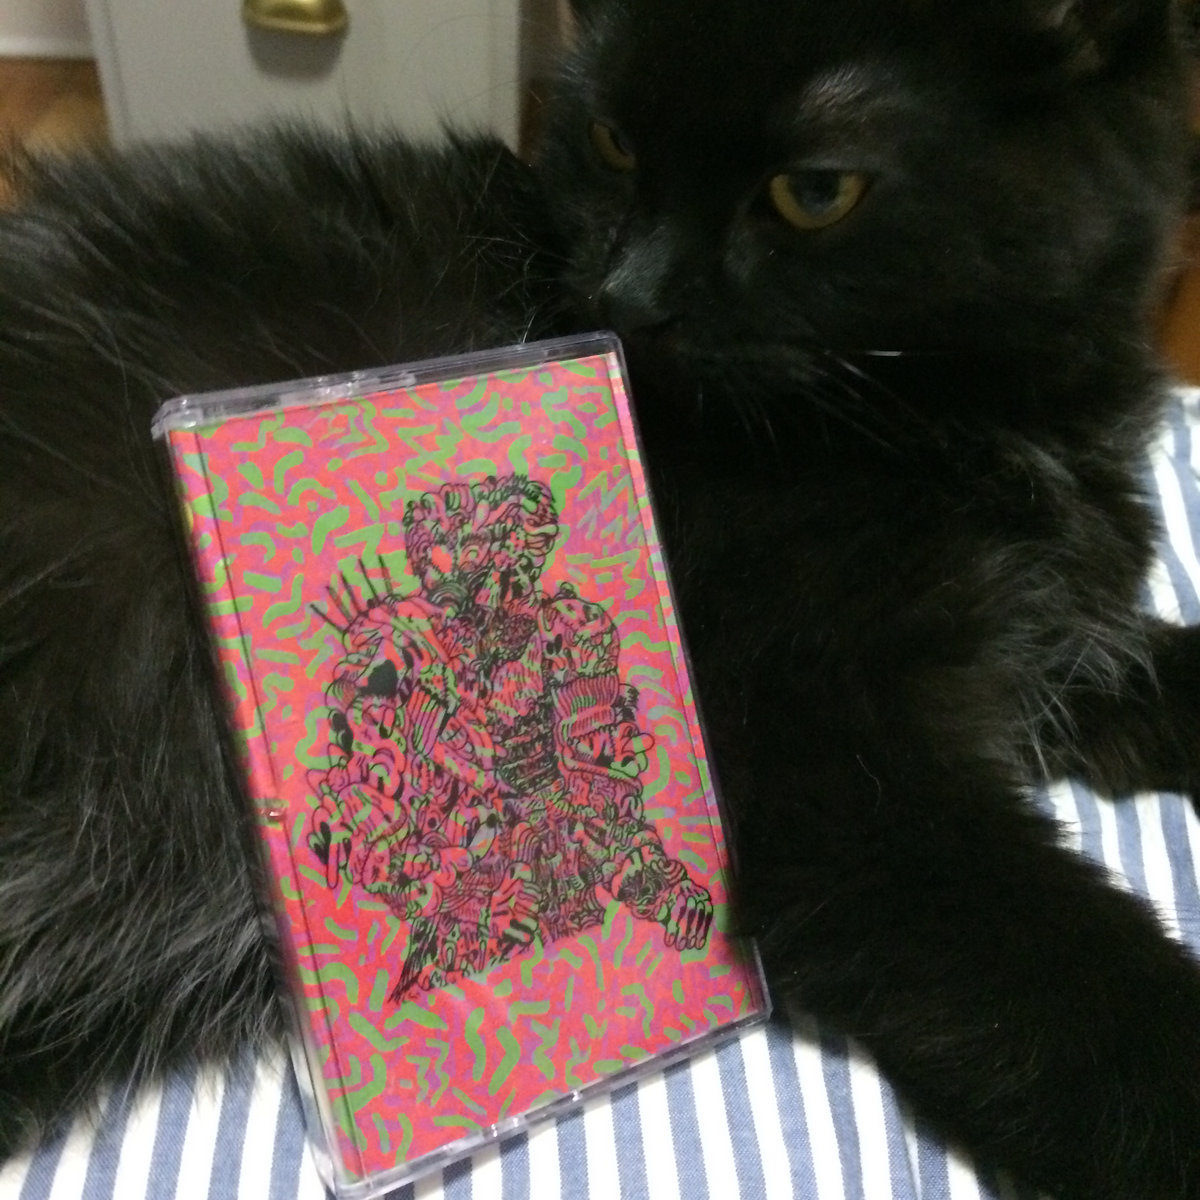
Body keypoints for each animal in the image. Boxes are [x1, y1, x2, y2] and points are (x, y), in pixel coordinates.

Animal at [3, 0, 1200, 1197]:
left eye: (815, 192)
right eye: (616, 141)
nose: (629, 300)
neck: (979, 420)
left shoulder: (1046, 637)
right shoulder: (820, 758)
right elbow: (1051, 967)